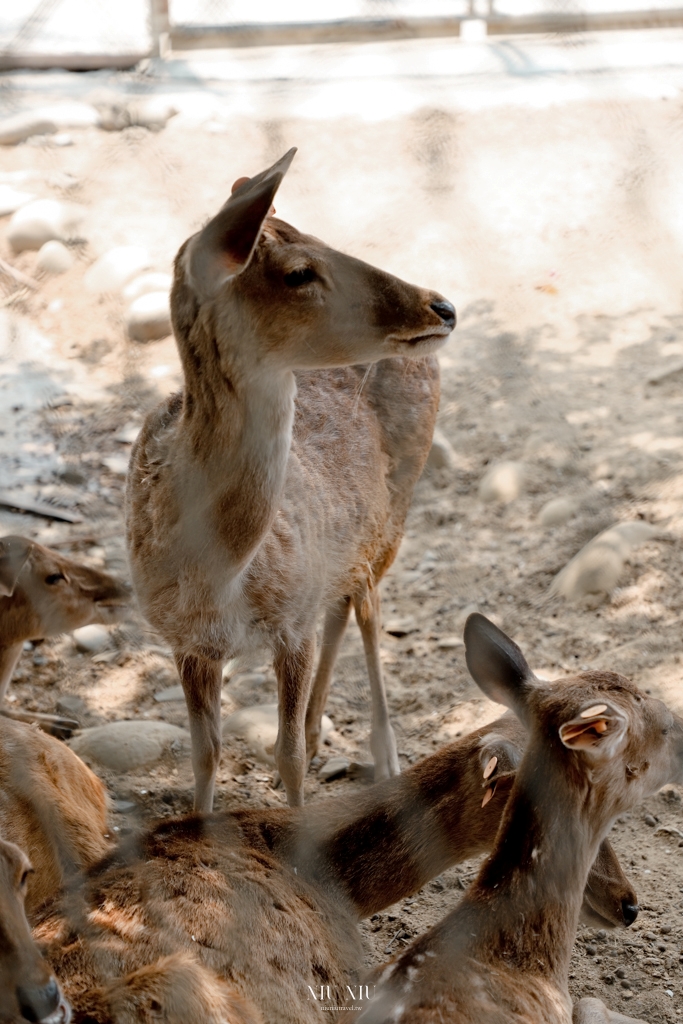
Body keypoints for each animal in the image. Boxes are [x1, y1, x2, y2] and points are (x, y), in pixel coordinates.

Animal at [126, 148, 458, 811]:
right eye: (300, 272)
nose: (443, 306)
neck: (218, 576)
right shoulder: (185, 640)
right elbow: (206, 754)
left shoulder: (291, 622)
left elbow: (287, 757)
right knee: (346, 598)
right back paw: (319, 726)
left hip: (396, 509)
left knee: (368, 606)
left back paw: (384, 756)